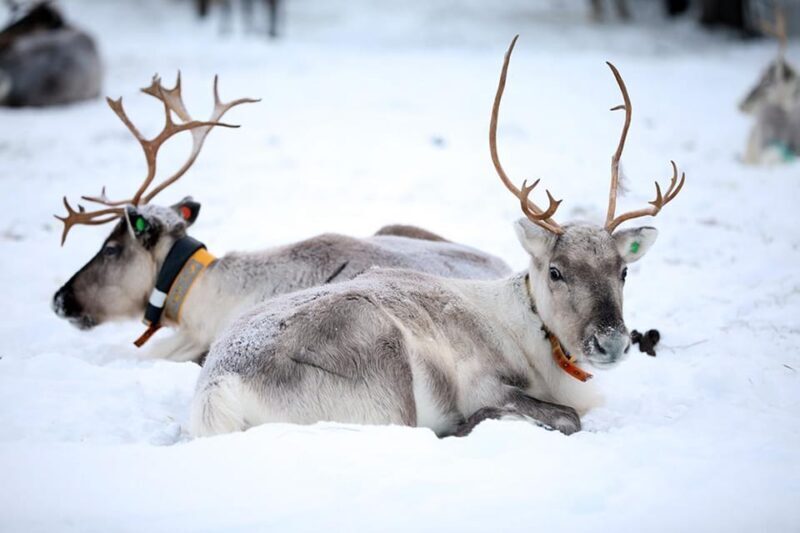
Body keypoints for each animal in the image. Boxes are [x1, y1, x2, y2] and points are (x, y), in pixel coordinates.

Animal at [190, 35, 686, 439]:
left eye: (623, 271)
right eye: (556, 271)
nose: (612, 343)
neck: (533, 333)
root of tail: (218, 387)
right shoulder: (485, 382)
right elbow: (568, 416)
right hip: (386, 372)